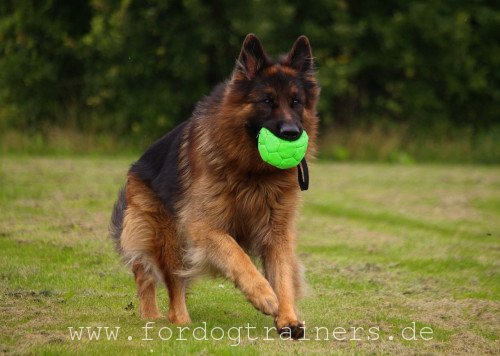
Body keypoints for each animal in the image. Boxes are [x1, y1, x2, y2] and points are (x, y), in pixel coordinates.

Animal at [110, 34, 320, 340]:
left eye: (296, 102)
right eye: (267, 100)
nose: (292, 134)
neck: (254, 173)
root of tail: (136, 167)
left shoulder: (276, 231)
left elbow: (282, 274)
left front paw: (287, 317)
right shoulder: (204, 226)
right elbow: (236, 254)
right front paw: (263, 295)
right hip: (169, 237)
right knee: (162, 282)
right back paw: (177, 321)